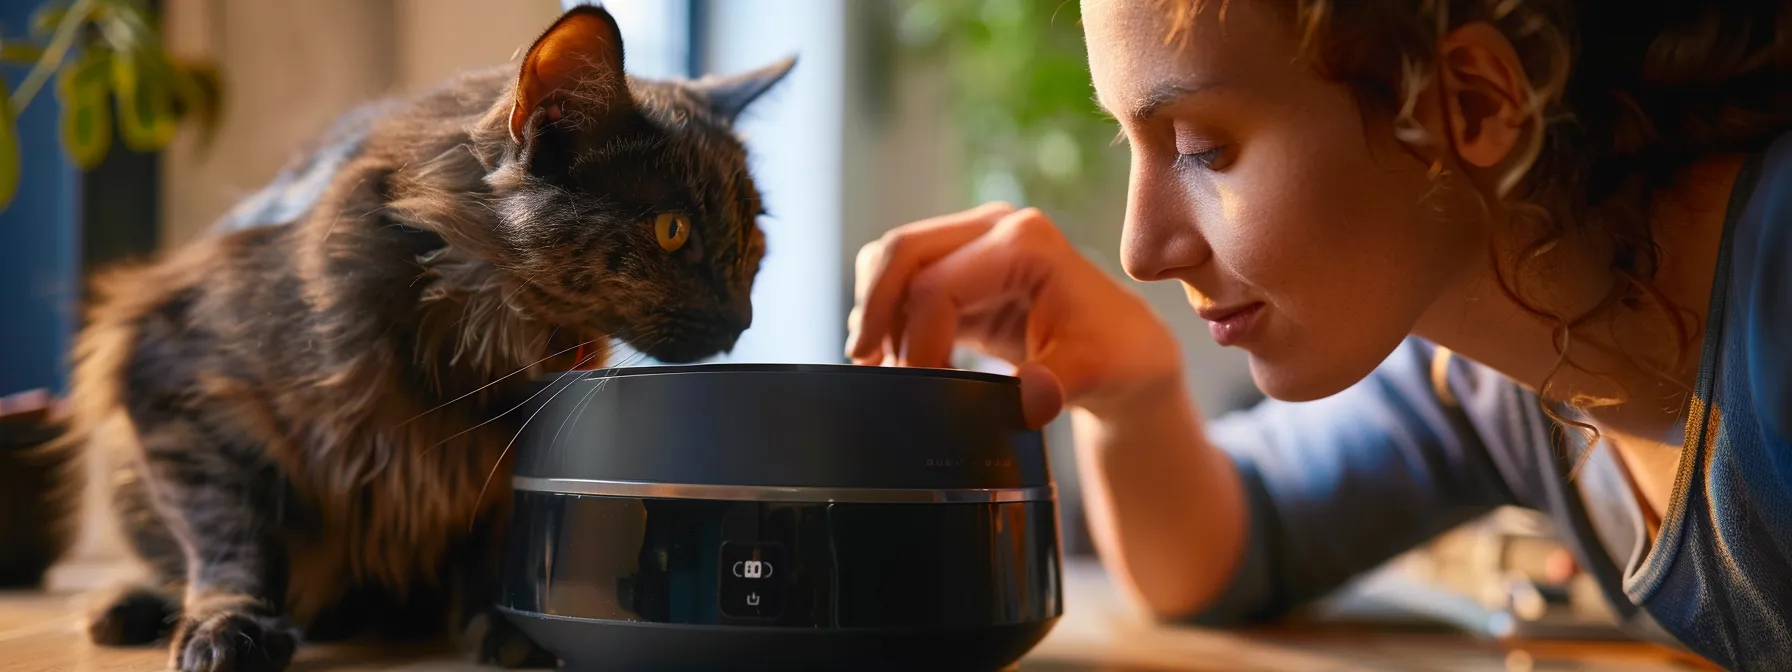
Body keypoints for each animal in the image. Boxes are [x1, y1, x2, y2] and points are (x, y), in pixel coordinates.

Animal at [49, 6, 788, 672]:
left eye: (753, 236)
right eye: (672, 230)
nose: (743, 319)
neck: (469, 348)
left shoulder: (503, 466)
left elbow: (493, 551)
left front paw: (506, 628)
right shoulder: (174, 374)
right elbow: (231, 537)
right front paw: (230, 626)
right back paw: (124, 608)